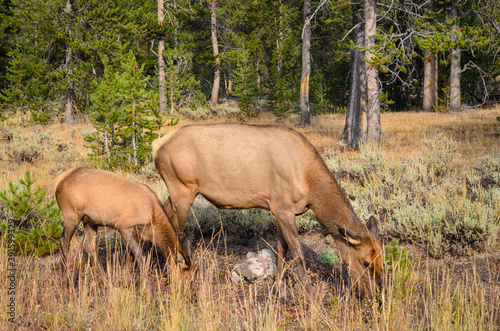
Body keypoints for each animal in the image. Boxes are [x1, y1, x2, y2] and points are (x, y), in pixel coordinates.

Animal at [54, 167, 191, 290]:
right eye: (186, 275)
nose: (187, 293)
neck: (153, 220)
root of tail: (58, 182)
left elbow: (131, 257)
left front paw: (128, 282)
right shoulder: (124, 227)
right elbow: (141, 257)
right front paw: (146, 291)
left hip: (90, 220)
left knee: (88, 245)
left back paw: (108, 283)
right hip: (71, 214)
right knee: (64, 241)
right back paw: (65, 286)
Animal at [152, 123, 382, 300]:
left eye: (382, 260)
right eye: (365, 261)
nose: (373, 296)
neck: (309, 183)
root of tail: (156, 145)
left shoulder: (280, 209)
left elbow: (281, 250)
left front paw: (280, 291)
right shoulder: (284, 208)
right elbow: (298, 254)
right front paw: (309, 297)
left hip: (176, 192)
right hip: (182, 188)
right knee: (175, 232)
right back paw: (174, 277)